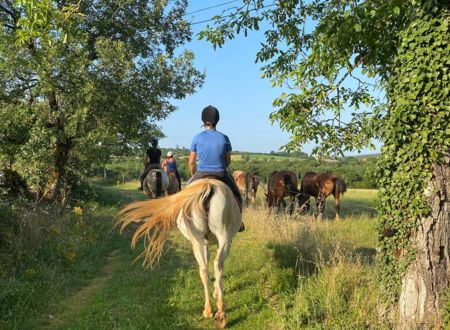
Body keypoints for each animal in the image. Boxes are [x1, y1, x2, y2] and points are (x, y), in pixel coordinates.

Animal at [116, 179, 243, 328]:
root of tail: (208, 184)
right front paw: (216, 292)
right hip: (223, 238)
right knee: (217, 265)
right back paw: (220, 311)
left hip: (199, 240)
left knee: (205, 269)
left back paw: (209, 310)